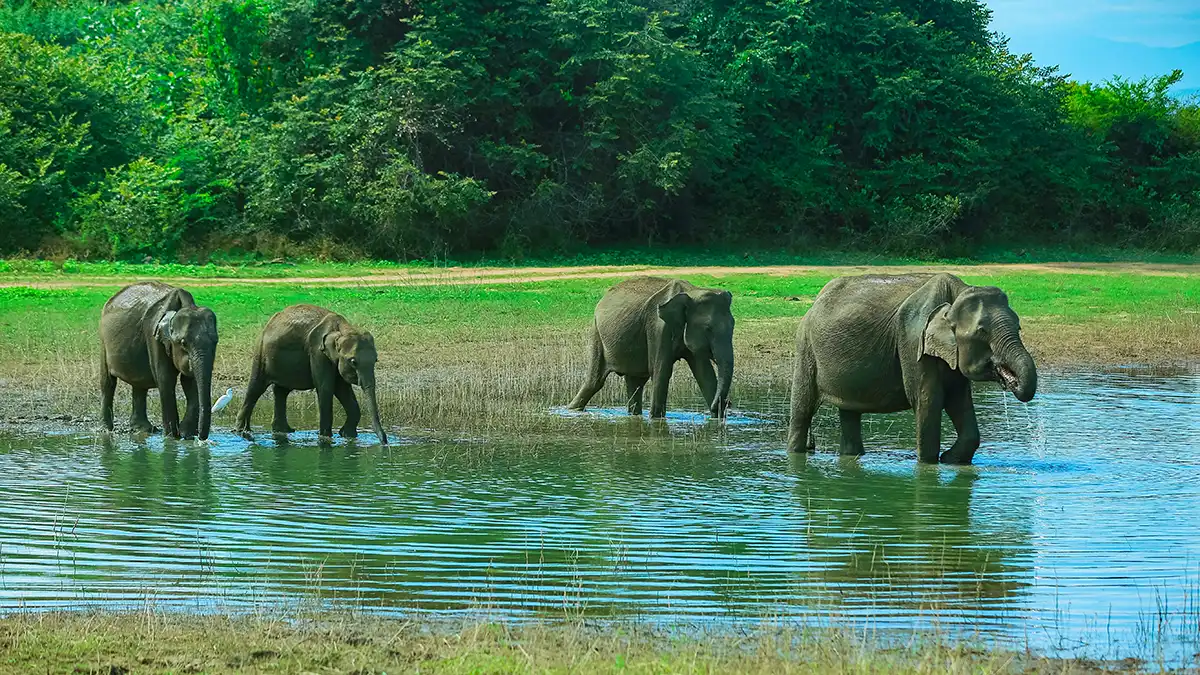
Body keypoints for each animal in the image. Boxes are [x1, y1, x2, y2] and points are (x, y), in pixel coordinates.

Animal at [99, 282, 219, 440]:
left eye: (215, 341)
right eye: (183, 343)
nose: (200, 437)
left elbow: (190, 382)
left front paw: (186, 435)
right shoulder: (153, 335)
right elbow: (166, 380)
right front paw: (172, 437)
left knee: (139, 384)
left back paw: (143, 429)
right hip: (103, 340)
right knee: (108, 382)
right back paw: (106, 430)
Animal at [234, 304, 388, 444]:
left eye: (376, 360)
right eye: (353, 361)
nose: (385, 441)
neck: (342, 329)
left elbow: (342, 389)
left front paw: (347, 434)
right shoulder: (317, 352)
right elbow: (326, 388)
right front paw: (326, 438)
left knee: (281, 391)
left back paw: (283, 431)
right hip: (260, 352)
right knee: (255, 388)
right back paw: (242, 432)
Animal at [568, 276, 734, 419]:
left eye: (733, 326)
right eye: (708, 329)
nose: (727, 403)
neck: (692, 291)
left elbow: (704, 374)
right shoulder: (658, 328)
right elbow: (661, 372)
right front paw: (656, 419)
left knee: (634, 383)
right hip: (596, 332)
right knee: (594, 382)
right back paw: (571, 410)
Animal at [787, 273, 1037, 464]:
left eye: (1019, 327)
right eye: (982, 331)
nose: (1009, 379)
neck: (957, 294)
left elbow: (958, 398)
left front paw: (950, 460)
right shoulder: (912, 339)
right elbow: (927, 399)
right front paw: (929, 465)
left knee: (849, 412)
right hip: (805, 346)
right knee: (802, 407)